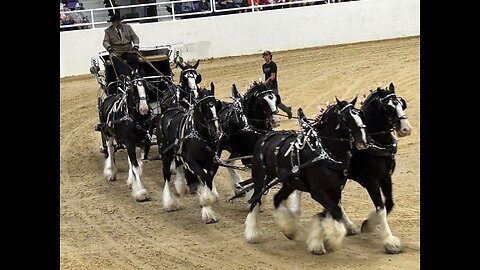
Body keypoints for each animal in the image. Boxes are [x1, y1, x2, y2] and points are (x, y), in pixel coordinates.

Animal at [158, 83, 224, 223]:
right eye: (202, 107)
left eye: (216, 105)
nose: (216, 131)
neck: (201, 136)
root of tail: (168, 111)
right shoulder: (192, 162)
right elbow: (204, 178)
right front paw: (207, 208)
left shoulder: (212, 162)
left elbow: (208, 179)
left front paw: (207, 202)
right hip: (166, 155)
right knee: (166, 175)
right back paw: (169, 203)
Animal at [244, 98, 368, 254]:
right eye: (346, 119)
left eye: (360, 115)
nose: (363, 141)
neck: (324, 152)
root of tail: (265, 137)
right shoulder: (317, 191)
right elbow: (335, 211)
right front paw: (332, 240)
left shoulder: (335, 190)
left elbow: (328, 212)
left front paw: (320, 241)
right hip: (261, 178)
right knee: (255, 200)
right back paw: (252, 234)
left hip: (290, 182)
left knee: (277, 198)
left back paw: (289, 228)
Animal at [338, 82, 412, 253]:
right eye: (388, 108)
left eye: (401, 104)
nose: (406, 129)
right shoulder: (370, 181)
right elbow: (381, 207)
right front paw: (390, 241)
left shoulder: (386, 177)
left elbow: (389, 203)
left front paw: (368, 224)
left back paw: (349, 226)